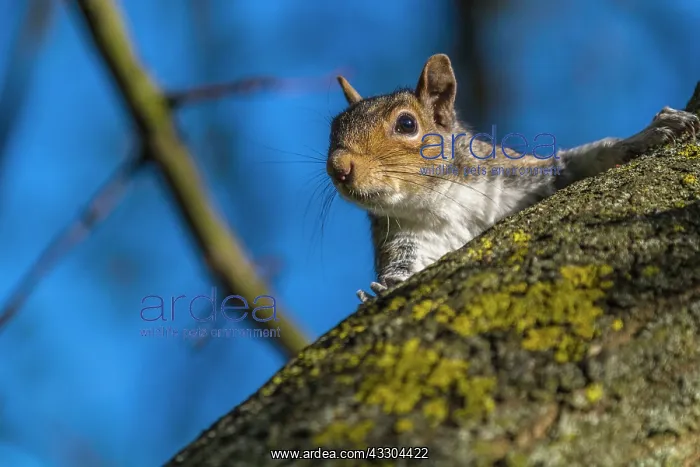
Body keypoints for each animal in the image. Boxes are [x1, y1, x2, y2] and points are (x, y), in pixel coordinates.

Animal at [326, 54, 700, 303]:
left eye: (406, 124)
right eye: (333, 128)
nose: (338, 167)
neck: (442, 202)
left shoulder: (516, 175)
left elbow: (573, 163)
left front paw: (649, 133)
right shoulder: (404, 237)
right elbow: (406, 264)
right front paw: (388, 285)